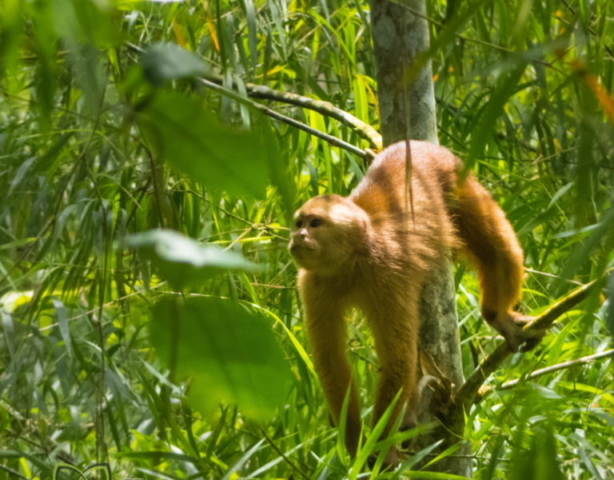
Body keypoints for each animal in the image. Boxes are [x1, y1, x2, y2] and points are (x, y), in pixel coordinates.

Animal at [288, 141, 540, 464]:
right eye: (299, 223)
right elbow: (332, 360)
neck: (353, 259)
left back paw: (498, 316)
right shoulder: (312, 283)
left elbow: (398, 358)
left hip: (454, 176)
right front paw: (355, 442)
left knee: (498, 248)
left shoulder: (385, 271)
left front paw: (378, 448)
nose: (298, 236)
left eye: (315, 223)